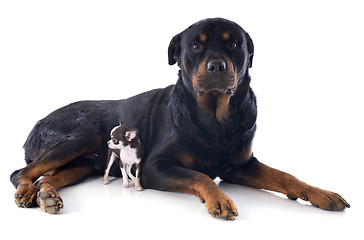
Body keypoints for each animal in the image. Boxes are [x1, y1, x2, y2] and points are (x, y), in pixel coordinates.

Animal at [9, 17, 348, 218]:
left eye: (234, 44)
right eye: (196, 46)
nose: (216, 65)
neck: (215, 120)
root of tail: (35, 124)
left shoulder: (240, 165)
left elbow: (284, 176)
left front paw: (321, 193)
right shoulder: (154, 167)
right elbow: (198, 176)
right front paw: (219, 198)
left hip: (83, 163)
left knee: (49, 177)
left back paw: (47, 195)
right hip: (83, 134)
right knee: (20, 173)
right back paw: (27, 192)